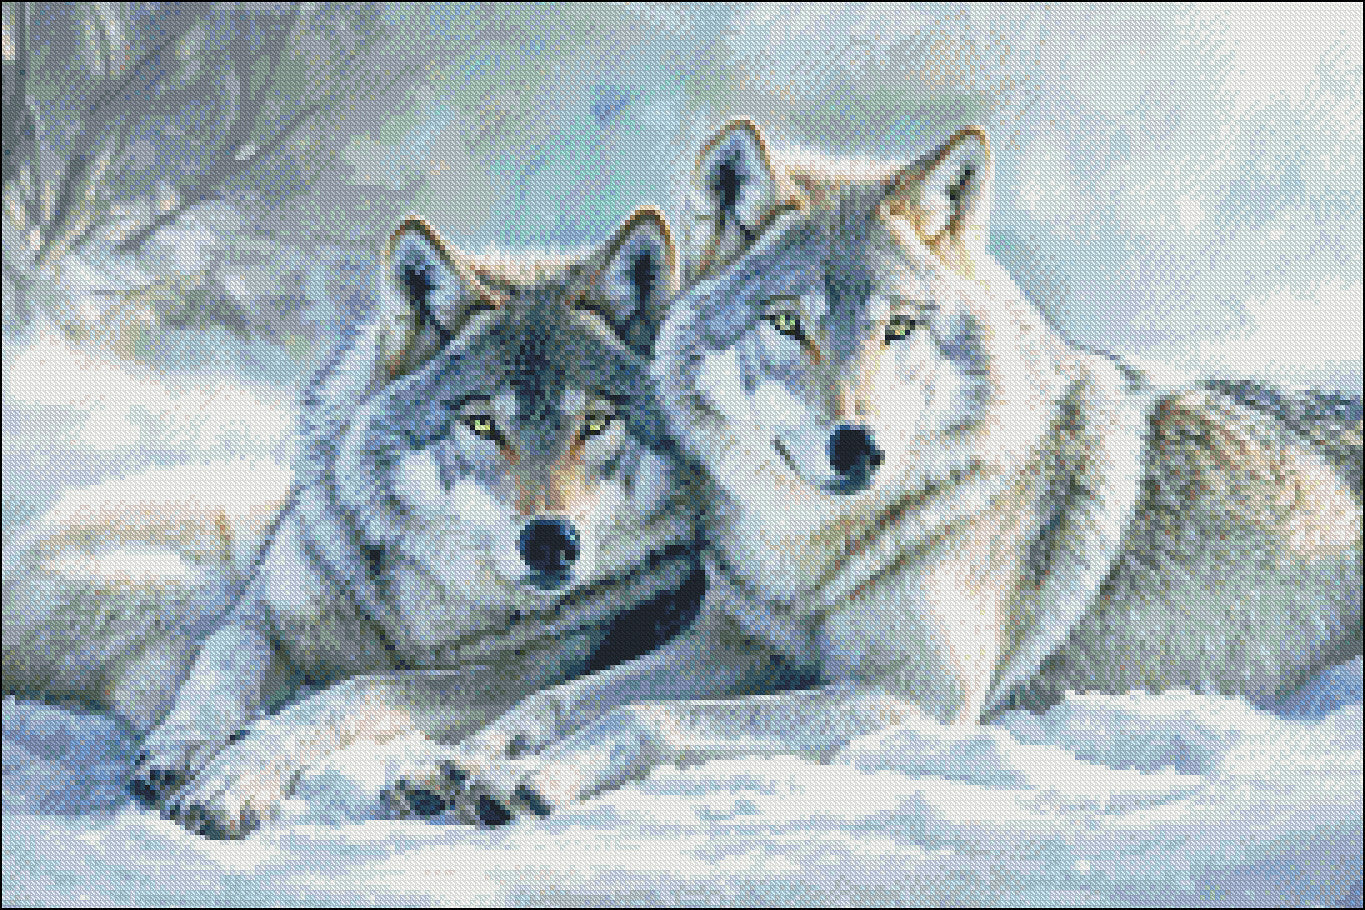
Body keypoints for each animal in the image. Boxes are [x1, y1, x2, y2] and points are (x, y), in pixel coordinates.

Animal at [123, 206, 700, 838]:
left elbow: (351, 694)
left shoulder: (530, 671)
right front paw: (182, 744)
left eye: (595, 424)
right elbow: (220, 660)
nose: (552, 542)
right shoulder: (268, 607)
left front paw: (232, 781)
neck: (415, 601)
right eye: (481, 424)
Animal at [387, 119, 1362, 825]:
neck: (811, 558)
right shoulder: (730, 646)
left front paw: (534, 783)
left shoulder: (909, 699)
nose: (858, 447)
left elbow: (643, 717)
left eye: (899, 328)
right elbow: (558, 698)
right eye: (788, 324)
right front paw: (465, 760)